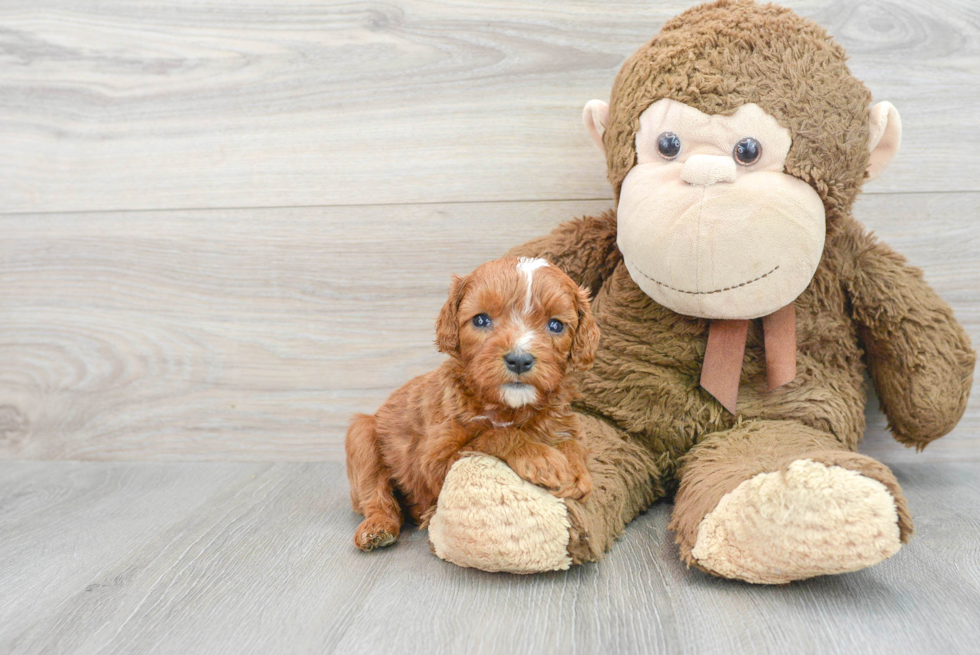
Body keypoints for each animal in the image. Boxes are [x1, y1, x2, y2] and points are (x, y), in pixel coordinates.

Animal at [348, 258, 600, 552]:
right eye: (481, 319)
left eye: (556, 325)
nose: (519, 360)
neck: (510, 408)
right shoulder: (435, 462)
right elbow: (494, 435)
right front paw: (542, 458)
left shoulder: (564, 424)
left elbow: (572, 444)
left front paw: (576, 470)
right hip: (362, 435)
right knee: (374, 495)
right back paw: (378, 527)